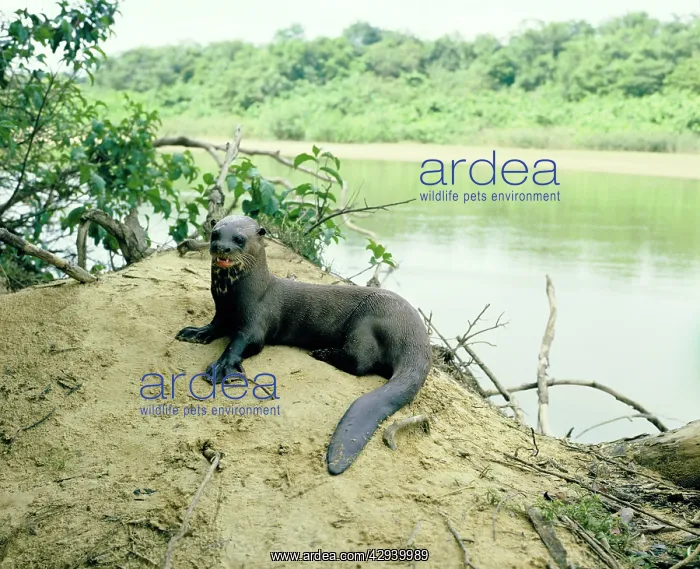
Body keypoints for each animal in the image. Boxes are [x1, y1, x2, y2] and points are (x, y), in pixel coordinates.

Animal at [176, 215, 431, 474]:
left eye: (239, 239)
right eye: (215, 234)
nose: (222, 248)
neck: (234, 296)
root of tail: (417, 339)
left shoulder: (256, 321)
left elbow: (243, 343)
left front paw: (222, 366)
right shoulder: (222, 312)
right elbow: (214, 325)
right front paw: (196, 332)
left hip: (368, 320)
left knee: (361, 362)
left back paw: (322, 353)